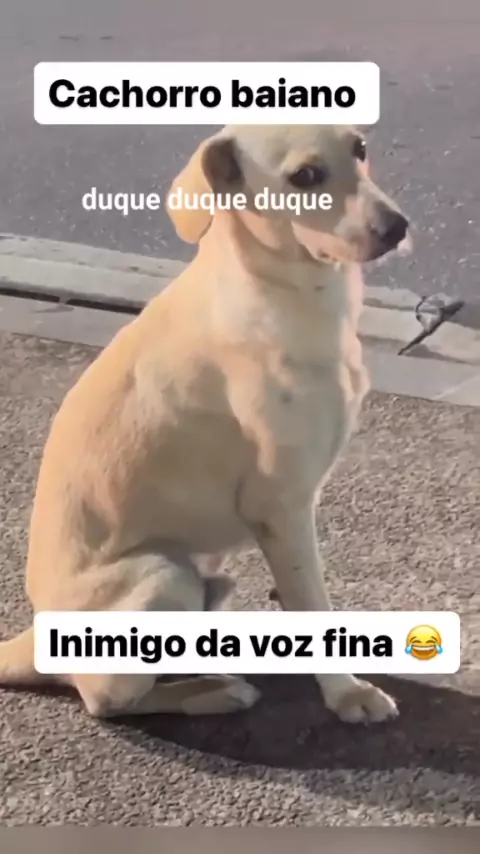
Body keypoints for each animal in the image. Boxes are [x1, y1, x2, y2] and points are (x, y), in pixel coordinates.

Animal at [0, 124, 409, 723]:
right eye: (305, 176)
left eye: (359, 148)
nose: (398, 227)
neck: (285, 292)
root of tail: (30, 641)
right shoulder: (281, 506)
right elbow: (311, 601)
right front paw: (346, 693)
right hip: (163, 576)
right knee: (106, 698)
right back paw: (209, 692)